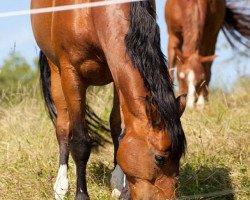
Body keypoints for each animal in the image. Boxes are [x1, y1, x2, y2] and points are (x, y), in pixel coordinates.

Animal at [31, 0, 187, 200]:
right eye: (160, 158)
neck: (90, 13)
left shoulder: (116, 70)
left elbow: (119, 129)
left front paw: (121, 187)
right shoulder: (71, 73)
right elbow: (80, 142)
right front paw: (81, 194)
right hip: (57, 73)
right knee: (63, 126)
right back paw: (61, 186)